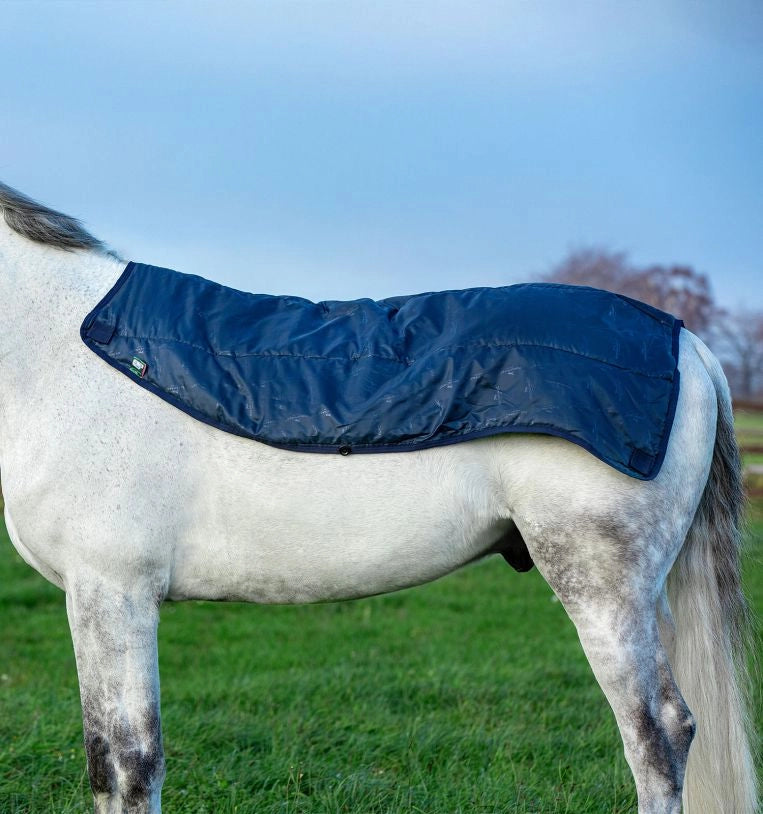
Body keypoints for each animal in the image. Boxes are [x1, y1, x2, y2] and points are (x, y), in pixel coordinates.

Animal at [0, 180, 757, 814]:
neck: (56, 356)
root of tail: (690, 346)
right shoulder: (105, 595)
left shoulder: (112, 591)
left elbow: (125, 763)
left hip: (603, 588)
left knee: (657, 735)